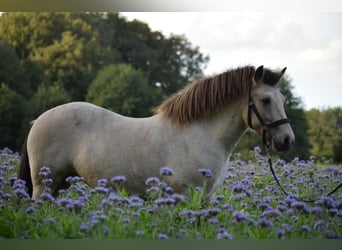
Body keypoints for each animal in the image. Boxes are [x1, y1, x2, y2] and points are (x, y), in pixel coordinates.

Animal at [18, 65, 294, 199]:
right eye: (266, 100)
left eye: (282, 99)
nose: (287, 140)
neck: (200, 134)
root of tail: (38, 120)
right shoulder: (186, 195)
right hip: (44, 184)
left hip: (62, 182)